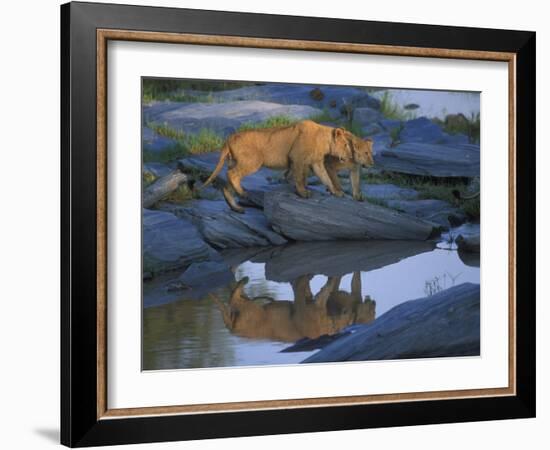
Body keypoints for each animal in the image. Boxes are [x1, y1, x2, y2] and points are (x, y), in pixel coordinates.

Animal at [202, 120, 354, 214]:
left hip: (235, 161)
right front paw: (303, 193)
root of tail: (229, 138)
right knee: (231, 174)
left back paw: (236, 208)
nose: (351, 156)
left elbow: (326, 178)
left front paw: (337, 192)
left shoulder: (315, 163)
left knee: (226, 184)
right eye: (346, 144)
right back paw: (242, 192)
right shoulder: (297, 158)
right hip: (253, 161)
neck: (324, 141)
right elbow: (299, 178)